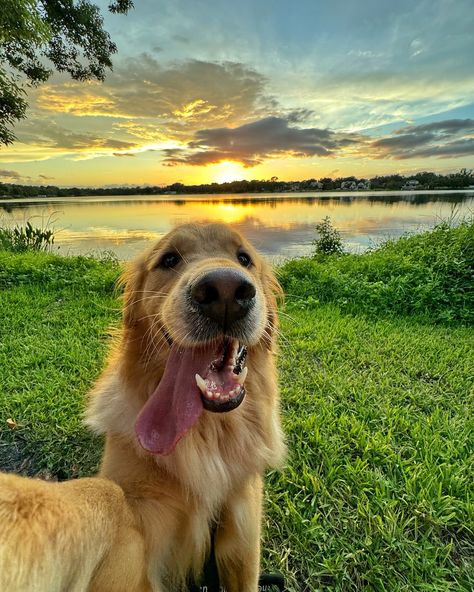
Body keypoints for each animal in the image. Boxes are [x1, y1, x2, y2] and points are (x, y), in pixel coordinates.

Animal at [0, 223, 286, 592]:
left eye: (244, 258)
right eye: (169, 259)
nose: (225, 291)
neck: (205, 431)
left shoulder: (242, 532)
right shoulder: (143, 533)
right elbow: (104, 494)